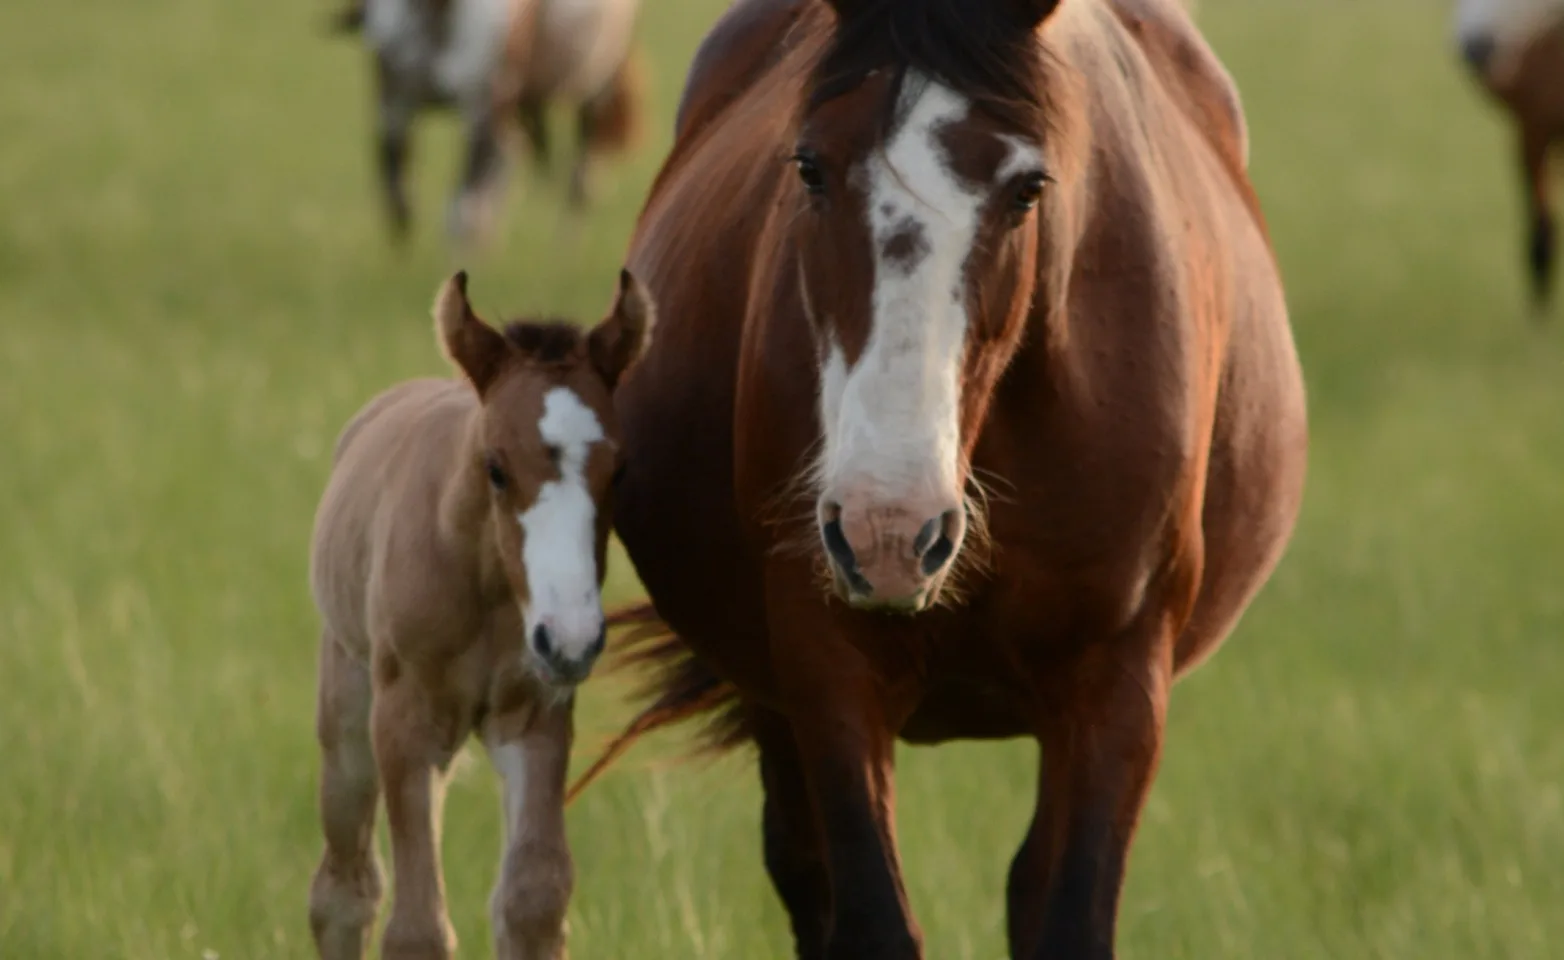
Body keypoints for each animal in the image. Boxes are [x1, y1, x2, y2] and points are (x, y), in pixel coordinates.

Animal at [308, 270, 650, 960]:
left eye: (619, 469)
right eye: (496, 466)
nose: (570, 640)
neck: (488, 590)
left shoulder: (536, 717)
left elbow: (533, 899)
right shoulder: (406, 723)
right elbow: (417, 927)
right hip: (349, 713)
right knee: (343, 888)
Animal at [575, 0, 1307, 956]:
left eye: (1027, 188)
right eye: (809, 165)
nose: (888, 529)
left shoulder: (1119, 683)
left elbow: (1068, 914)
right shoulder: (826, 663)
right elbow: (870, 915)